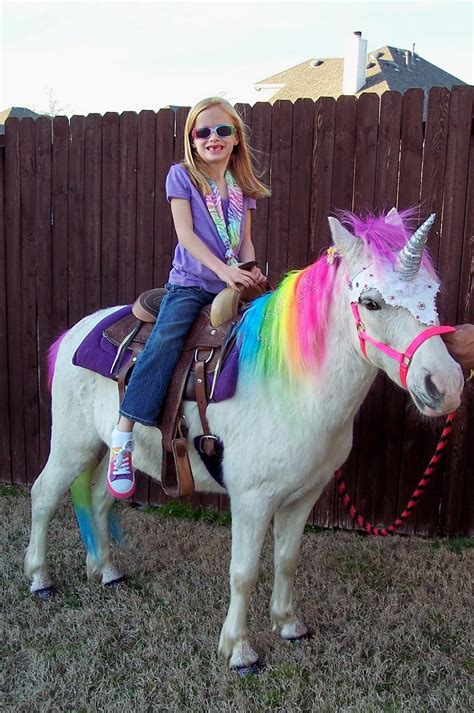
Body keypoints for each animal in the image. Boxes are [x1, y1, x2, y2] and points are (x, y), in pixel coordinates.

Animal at [25, 209, 462, 672]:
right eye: (371, 302)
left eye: (432, 294)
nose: (446, 385)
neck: (290, 387)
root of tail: (79, 331)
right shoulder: (252, 500)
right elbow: (244, 572)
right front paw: (239, 649)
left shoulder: (304, 496)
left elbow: (286, 560)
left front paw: (288, 624)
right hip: (72, 445)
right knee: (44, 494)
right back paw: (39, 578)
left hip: (118, 454)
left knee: (97, 497)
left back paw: (106, 570)